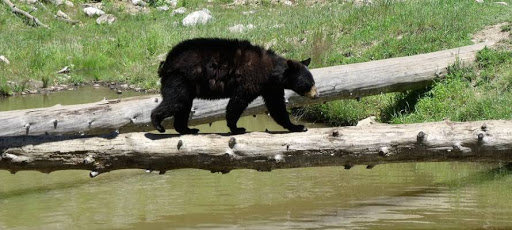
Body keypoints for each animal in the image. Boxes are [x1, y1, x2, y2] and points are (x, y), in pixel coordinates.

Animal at [152, 37, 318, 135]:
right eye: (309, 83)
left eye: (313, 82)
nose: (316, 95)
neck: (271, 71)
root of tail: (167, 61)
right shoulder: (251, 79)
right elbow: (238, 102)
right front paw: (236, 128)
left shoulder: (271, 87)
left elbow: (277, 107)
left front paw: (297, 126)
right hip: (181, 77)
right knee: (177, 101)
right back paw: (157, 123)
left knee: (183, 105)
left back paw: (187, 129)